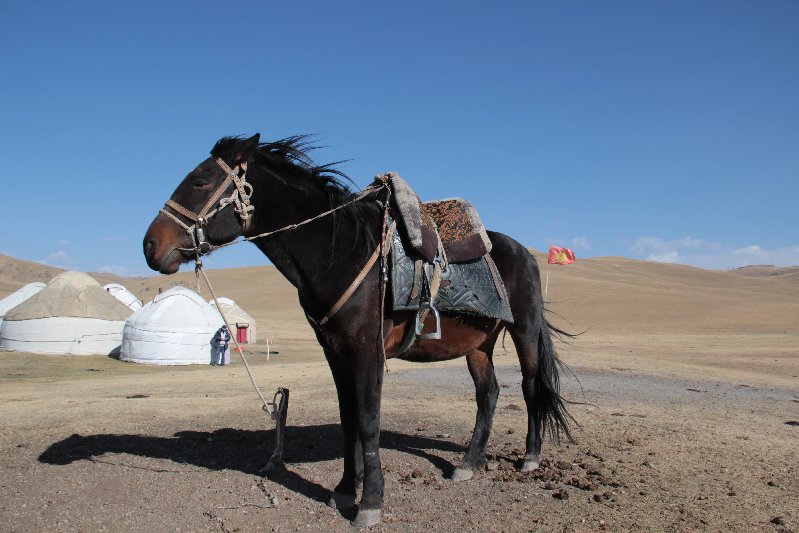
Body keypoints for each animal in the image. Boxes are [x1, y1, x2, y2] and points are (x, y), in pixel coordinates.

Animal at [144, 134, 576, 528]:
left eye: (200, 181)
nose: (150, 246)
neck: (337, 254)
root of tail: (526, 253)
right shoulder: (336, 352)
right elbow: (348, 418)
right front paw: (344, 490)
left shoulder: (368, 349)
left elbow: (368, 420)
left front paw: (370, 503)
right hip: (477, 344)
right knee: (488, 394)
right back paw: (468, 464)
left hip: (524, 331)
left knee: (530, 386)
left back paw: (530, 458)